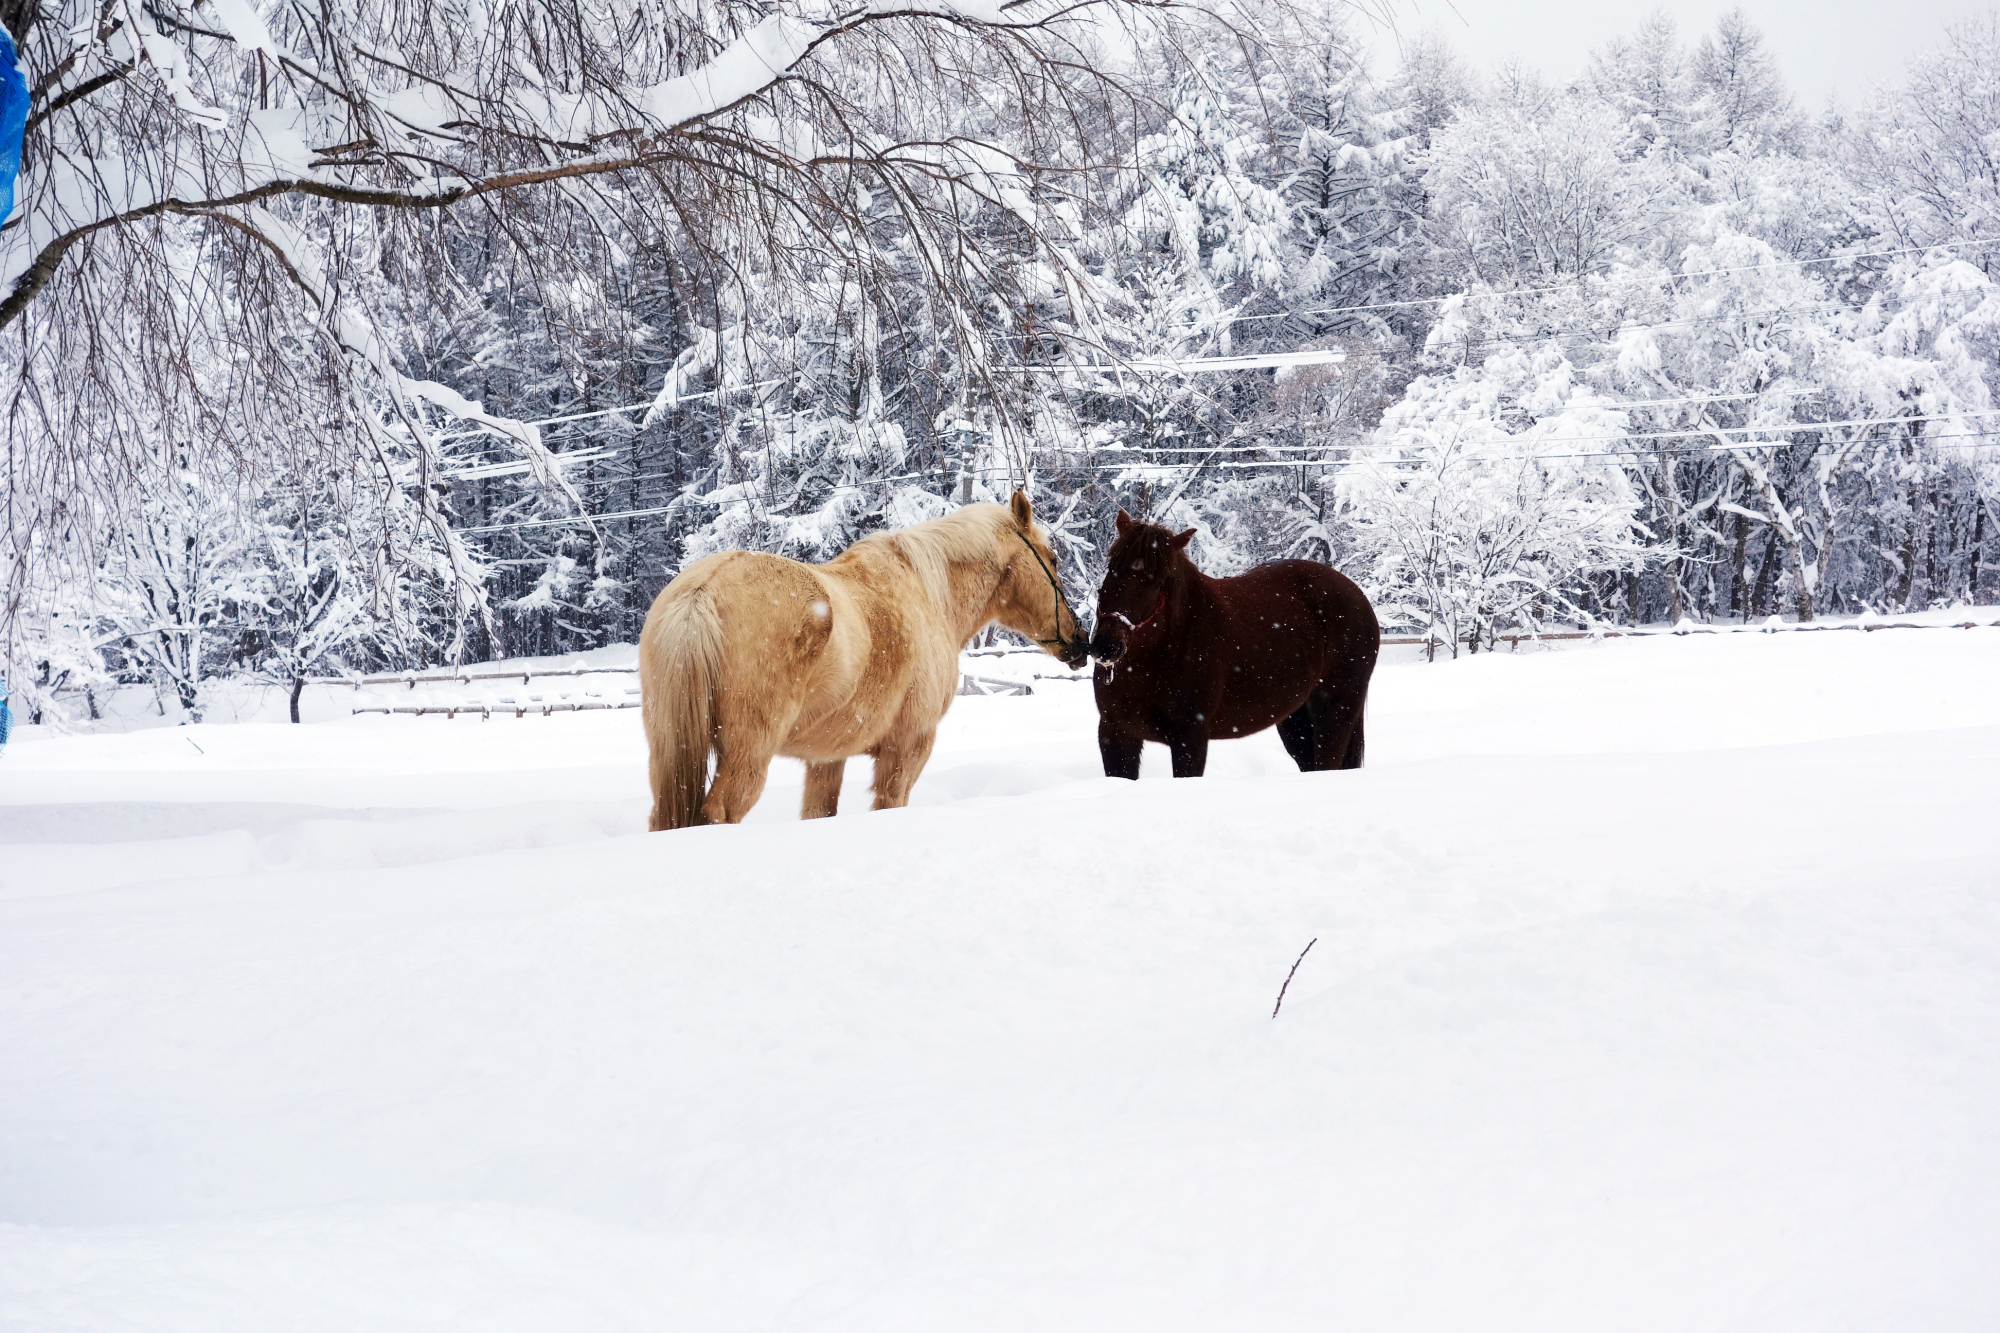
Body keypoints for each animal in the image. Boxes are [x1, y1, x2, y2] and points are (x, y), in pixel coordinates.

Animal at [640, 490, 1088, 820]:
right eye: (1053, 560)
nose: (1081, 641)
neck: (929, 595)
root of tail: (701, 592)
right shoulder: (907, 749)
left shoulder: (827, 760)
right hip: (747, 754)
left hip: (669, 753)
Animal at [1088, 508, 1384, 780]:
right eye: (1111, 569)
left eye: (1157, 582)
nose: (1106, 646)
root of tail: (1357, 595)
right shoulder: (1116, 734)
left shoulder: (1190, 736)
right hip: (1296, 719)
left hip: (1336, 710)